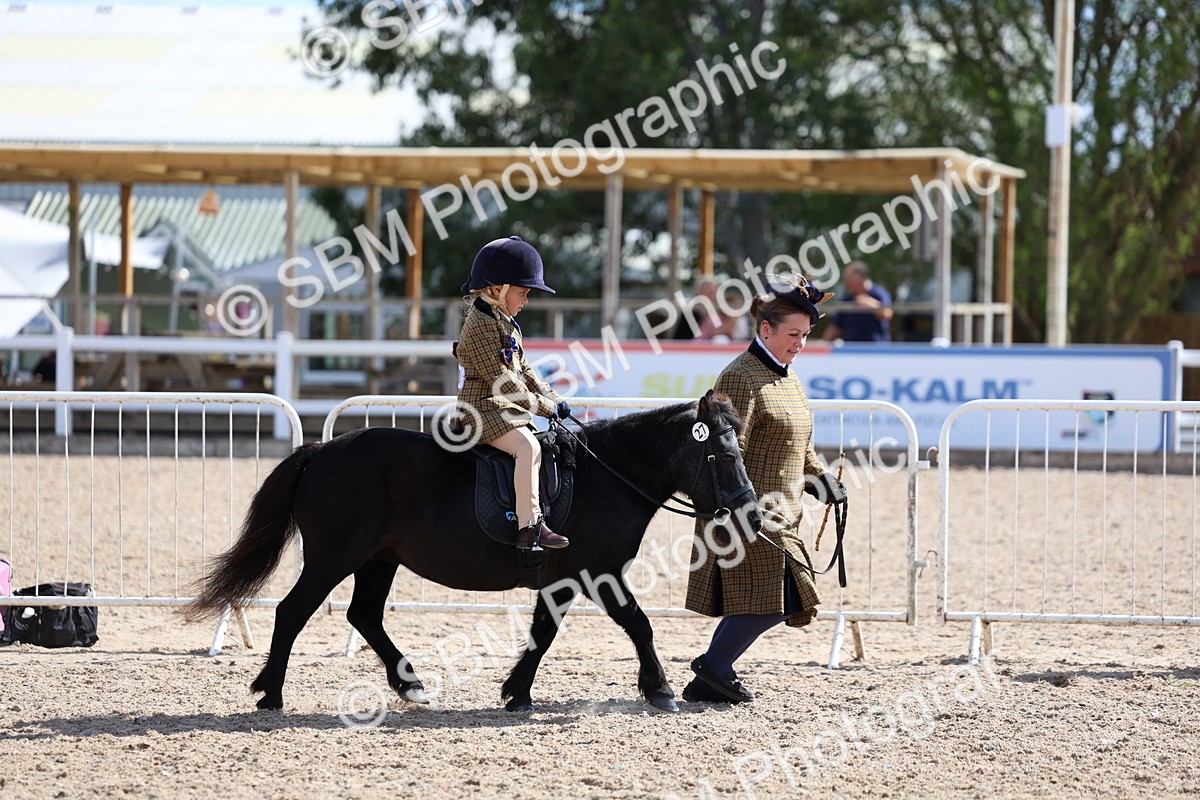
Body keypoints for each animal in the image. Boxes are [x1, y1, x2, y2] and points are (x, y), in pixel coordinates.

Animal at [186, 391, 761, 713]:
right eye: (723, 454)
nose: (751, 514)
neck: (608, 477)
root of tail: (323, 449)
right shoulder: (598, 573)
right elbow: (639, 624)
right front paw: (660, 689)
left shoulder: (562, 580)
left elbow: (543, 633)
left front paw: (517, 692)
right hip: (334, 559)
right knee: (293, 611)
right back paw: (271, 694)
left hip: (378, 560)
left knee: (364, 615)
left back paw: (411, 686)